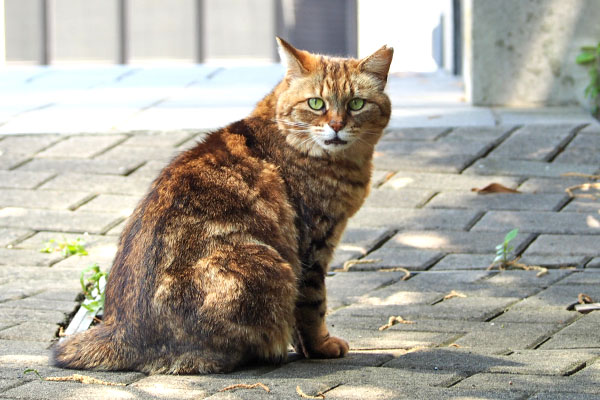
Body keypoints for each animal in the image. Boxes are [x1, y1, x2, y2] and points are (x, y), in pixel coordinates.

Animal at [52, 38, 394, 376]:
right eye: (316, 104)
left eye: (356, 104)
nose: (336, 125)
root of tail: (120, 332)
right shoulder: (313, 245)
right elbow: (313, 306)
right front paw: (320, 346)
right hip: (266, 263)